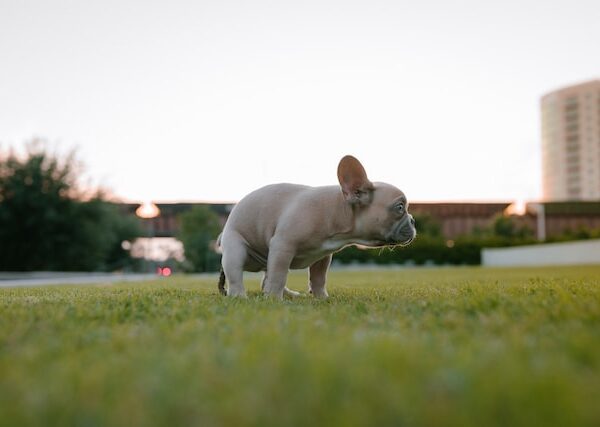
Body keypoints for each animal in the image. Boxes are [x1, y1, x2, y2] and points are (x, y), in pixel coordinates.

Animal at [217, 155, 418, 300]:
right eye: (400, 207)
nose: (413, 220)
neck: (339, 210)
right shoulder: (283, 246)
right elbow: (279, 275)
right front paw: (274, 299)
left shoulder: (322, 255)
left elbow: (319, 278)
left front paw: (322, 298)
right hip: (236, 249)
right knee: (237, 275)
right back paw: (240, 296)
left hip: (267, 258)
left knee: (267, 276)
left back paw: (289, 294)